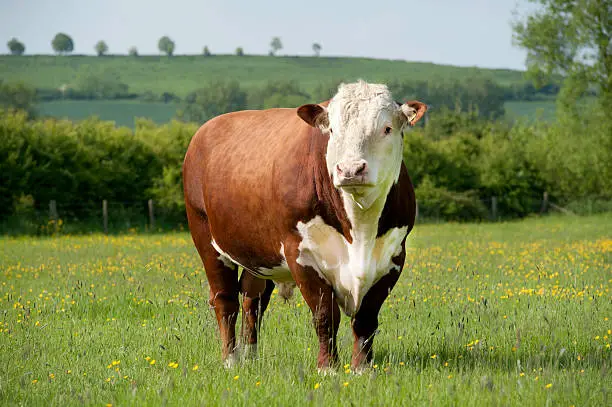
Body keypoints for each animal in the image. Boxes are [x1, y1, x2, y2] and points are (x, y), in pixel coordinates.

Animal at [184, 80, 428, 372]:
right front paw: (328, 367)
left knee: (253, 300)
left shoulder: (393, 257)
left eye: (387, 128)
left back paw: (251, 356)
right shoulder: (300, 254)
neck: (360, 230)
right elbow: (325, 315)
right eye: (332, 130)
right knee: (225, 300)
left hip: (259, 255)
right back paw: (231, 360)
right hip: (206, 237)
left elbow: (366, 318)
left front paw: (361, 368)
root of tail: (206, 129)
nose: (350, 169)